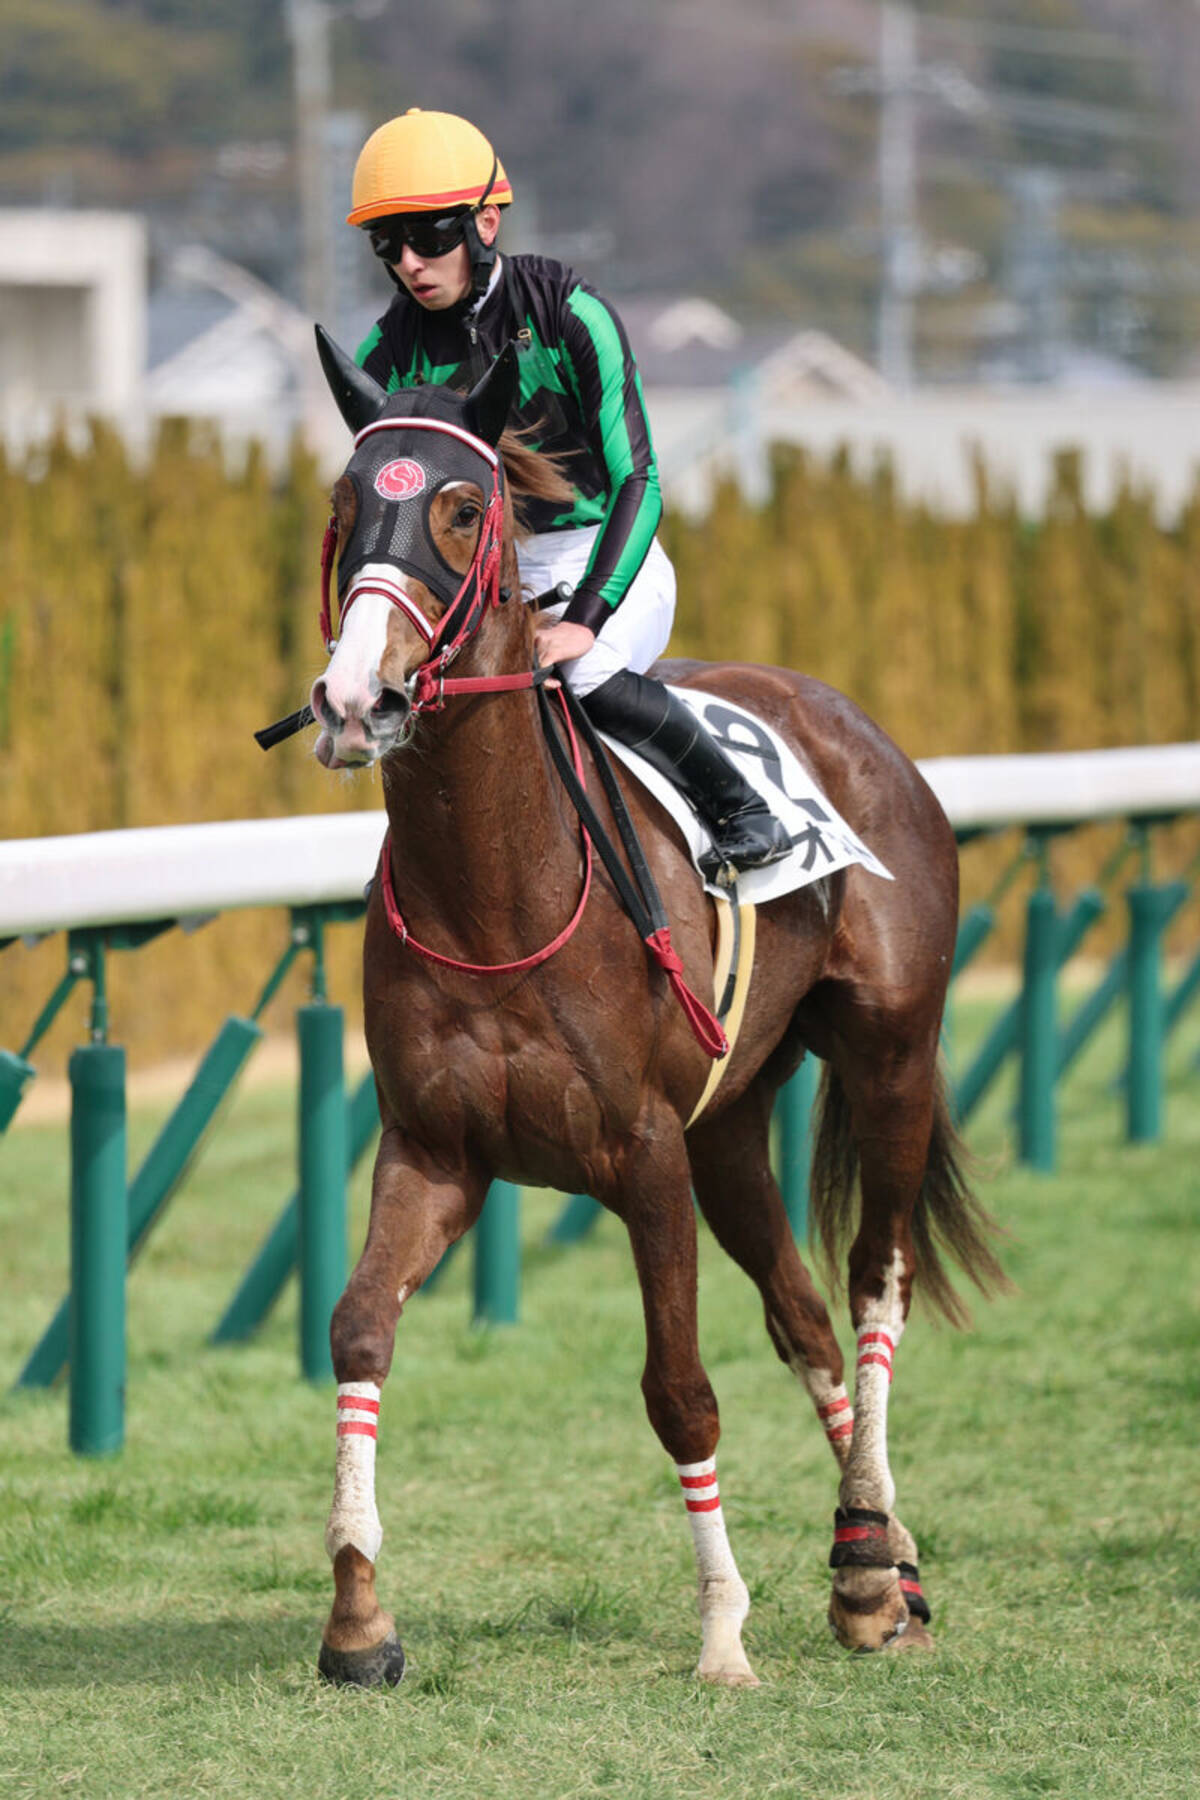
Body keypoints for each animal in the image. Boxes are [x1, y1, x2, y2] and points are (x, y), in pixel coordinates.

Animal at [303, 330, 1004, 1689]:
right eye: (344, 507)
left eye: (462, 509)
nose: (359, 700)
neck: (499, 895)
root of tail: (851, 720)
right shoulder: (436, 1148)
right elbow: (359, 1329)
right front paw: (358, 1621)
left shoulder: (639, 1157)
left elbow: (679, 1388)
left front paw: (723, 1632)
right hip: (730, 1126)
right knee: (803, 1316)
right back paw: (879, 1568)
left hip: (891, 1052)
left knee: (873, 1284)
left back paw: (864, 1551)